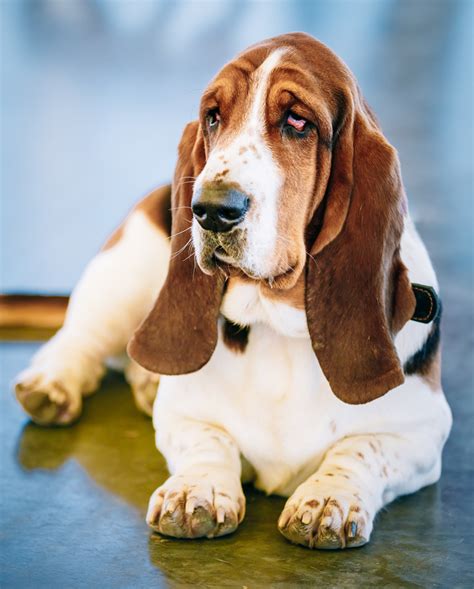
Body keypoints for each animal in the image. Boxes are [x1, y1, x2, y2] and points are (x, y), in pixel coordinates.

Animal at [14, 31, 452, 548]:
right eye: (213, 117)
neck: (279, 324)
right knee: (79, 338)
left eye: (297, 121)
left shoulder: (423, 430)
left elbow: (359, 450)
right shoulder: (182, 417)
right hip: (124, 272)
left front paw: (328, 498)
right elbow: (209, 439)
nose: (210, 210)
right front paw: (196, 490)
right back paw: (51, 385)